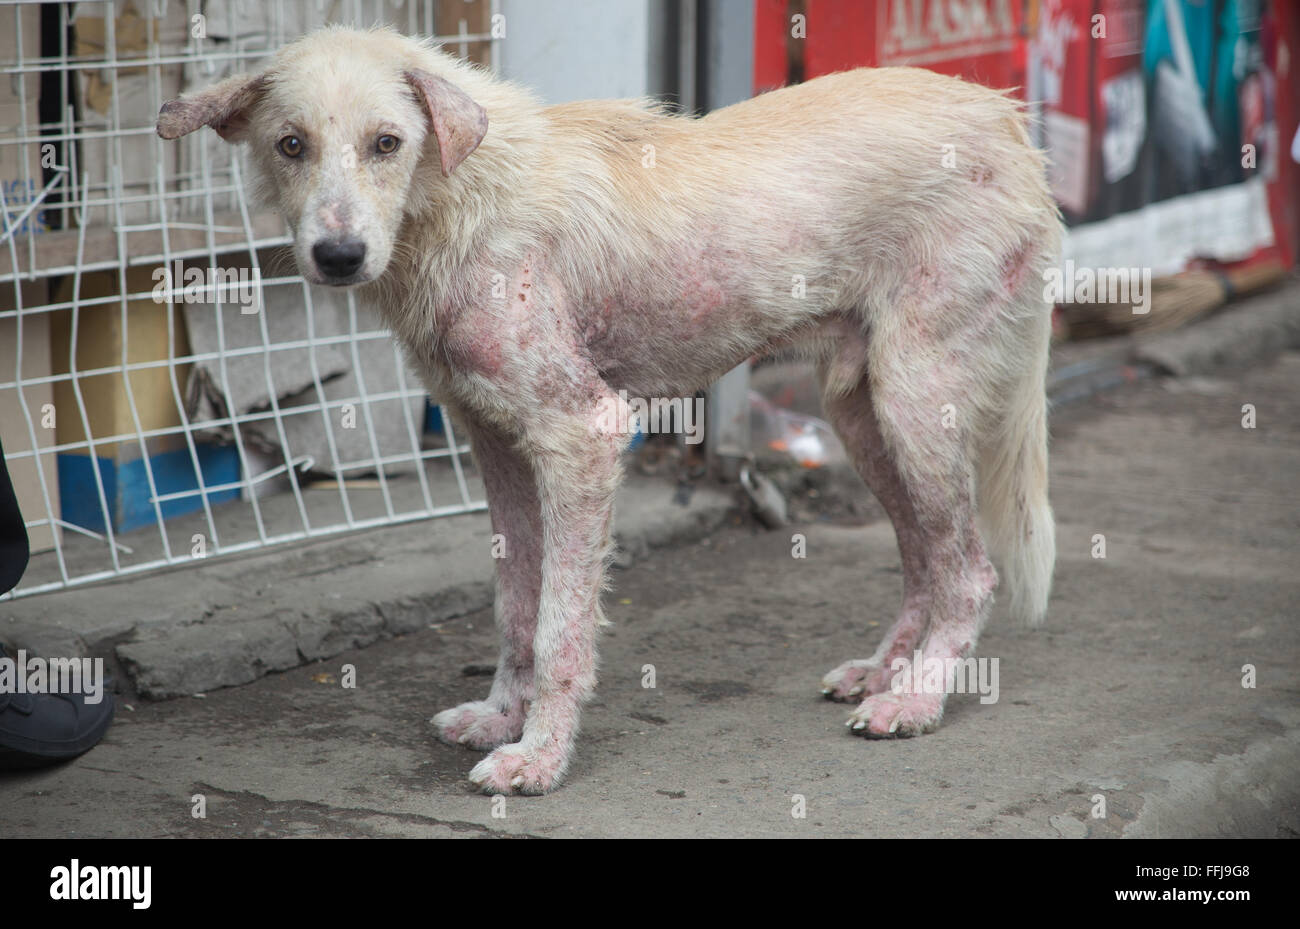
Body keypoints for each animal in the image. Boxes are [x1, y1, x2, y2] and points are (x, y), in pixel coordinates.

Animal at [157, 25, 1060, 795]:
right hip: (863, 415)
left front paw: (540, 758)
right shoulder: (494, 442)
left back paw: (917, 698)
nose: (339, 255)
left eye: (387, 142)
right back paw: (884, 671)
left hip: (916, 400)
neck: (461, 196)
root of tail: (1006, 118)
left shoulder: (580, 436)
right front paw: (503, 717)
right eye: (291, 145)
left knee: (970, 572)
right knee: (924, 559)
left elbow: (560, 625)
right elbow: (515, 605)